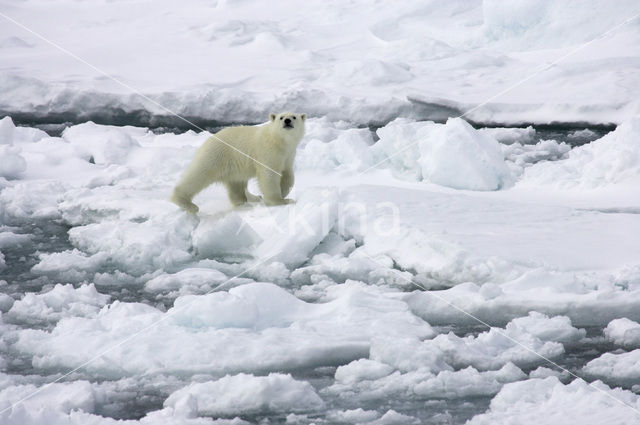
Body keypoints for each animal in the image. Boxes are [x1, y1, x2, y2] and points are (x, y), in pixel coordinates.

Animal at [171, 112, 306, 214]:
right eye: (281, 117)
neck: (279, 140)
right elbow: (269, 175)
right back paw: (187, 203)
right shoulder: (267, 151)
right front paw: (281, 201)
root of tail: (207, 141)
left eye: (294, 117)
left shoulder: (288, 154)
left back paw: (250, 199)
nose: (287, 121)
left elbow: (288, 175)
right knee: (199, 175)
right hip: (216, 155)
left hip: (233, 166)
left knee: (236, 184)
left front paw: (283, 192)